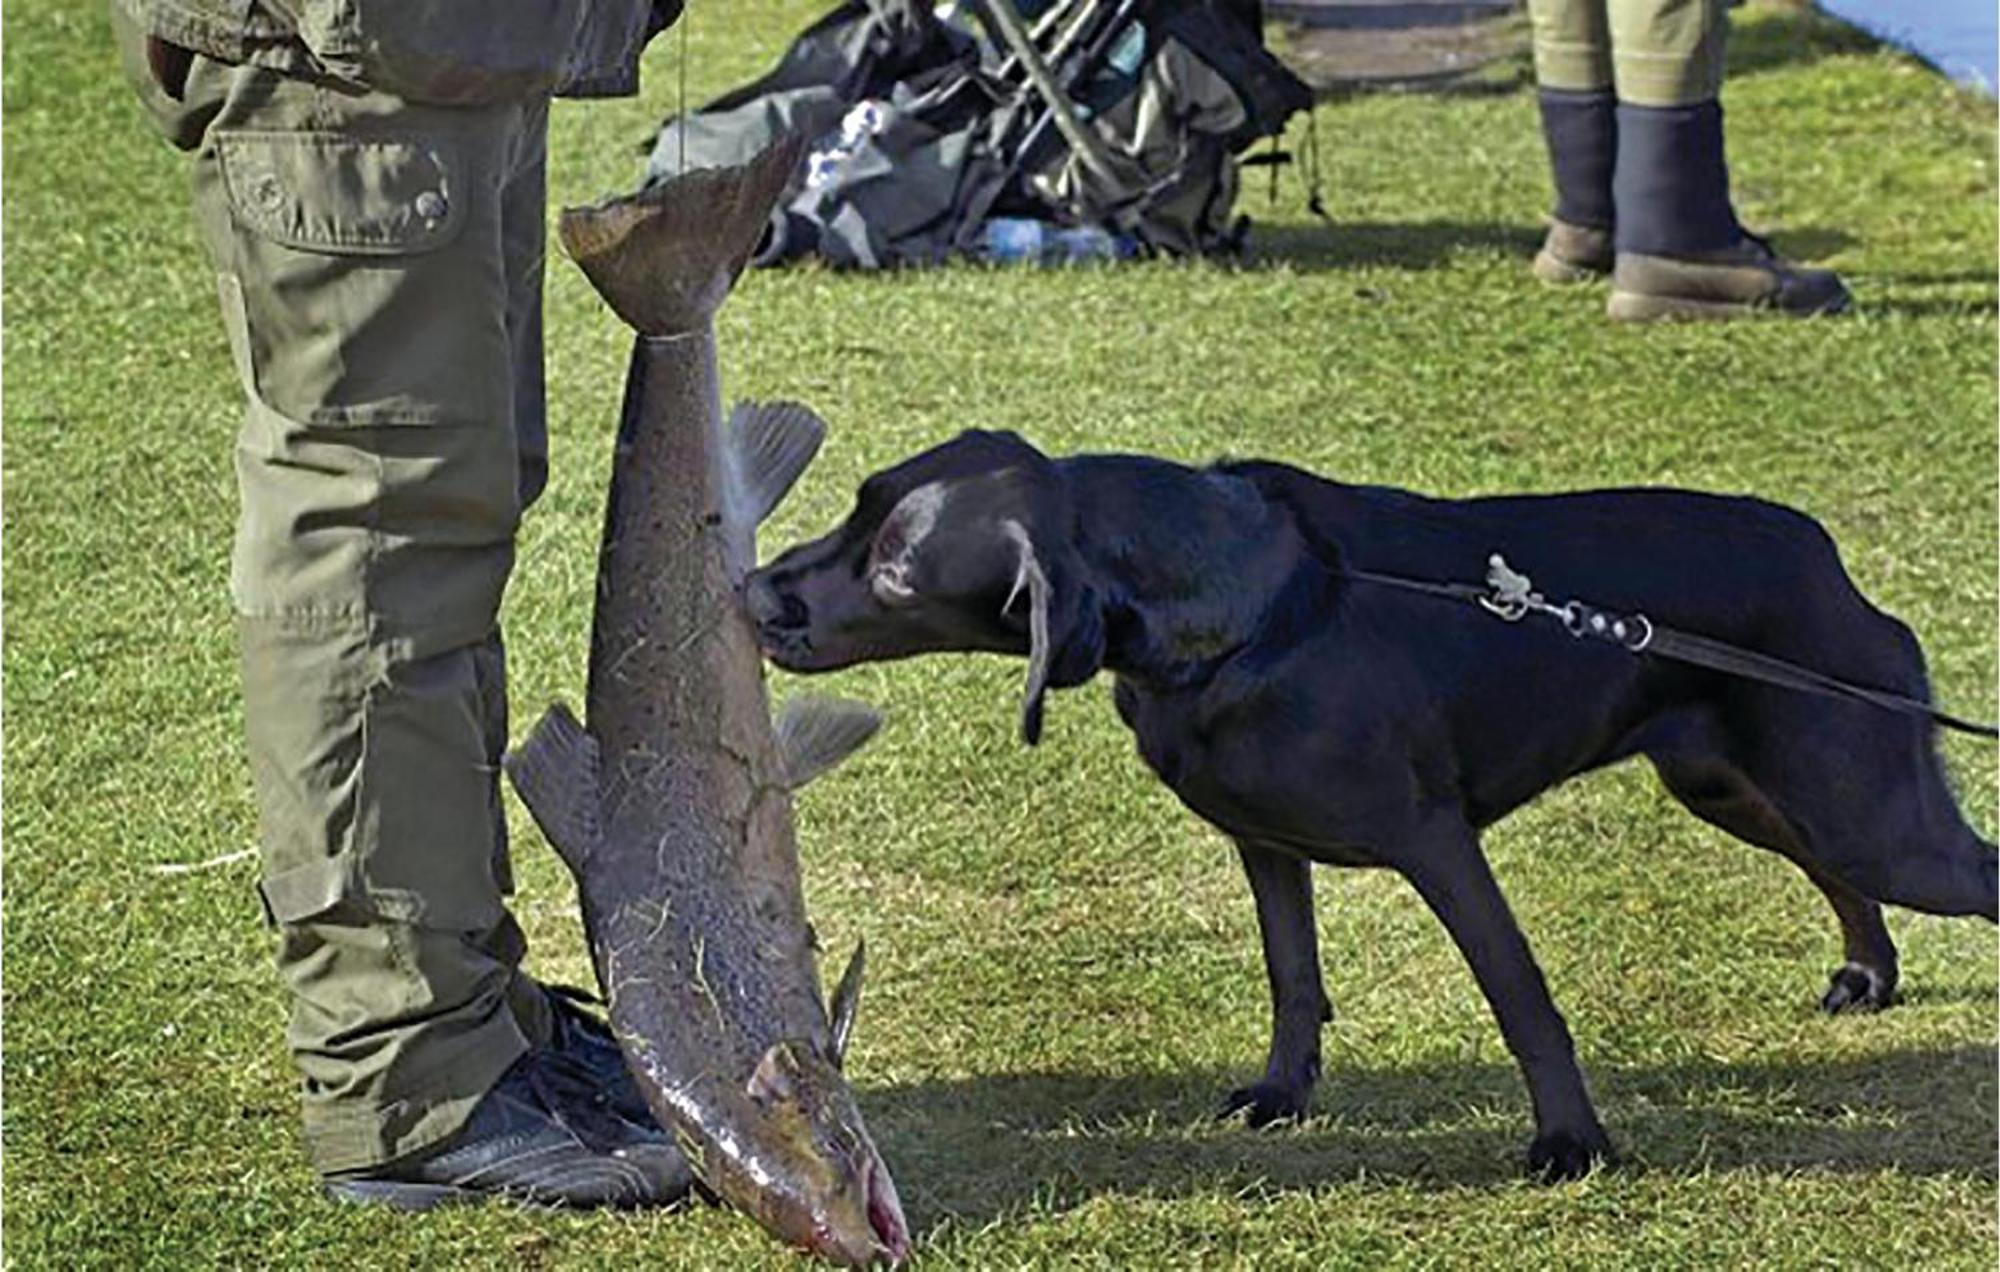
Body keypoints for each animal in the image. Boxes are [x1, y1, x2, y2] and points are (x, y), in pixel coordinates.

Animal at [744, 432, 1992, 1176]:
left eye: (894, 570)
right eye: (855, 504)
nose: (753, 592)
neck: (1239, 605)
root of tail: (1825, 559)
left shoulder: (1436, 845)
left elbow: (1518, 994)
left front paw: (1569, 1144)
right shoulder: (1262, 842)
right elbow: (1291, 978)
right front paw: (1281, 1095)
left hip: (1866, 809)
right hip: (1739, 785)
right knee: (1828, 868)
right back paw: (1865, 974)